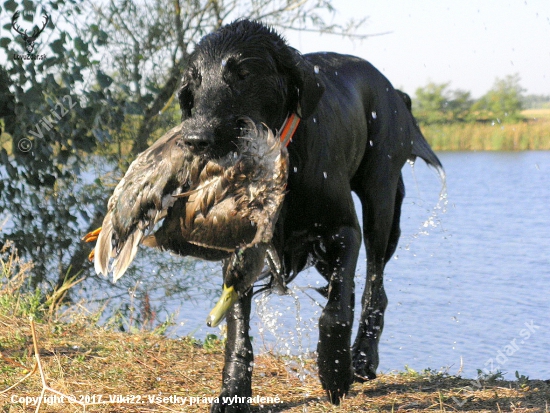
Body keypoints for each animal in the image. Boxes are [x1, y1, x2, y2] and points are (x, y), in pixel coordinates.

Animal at [91, 19, 444, 412]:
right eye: (193, 83)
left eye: (243, 74)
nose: (195, 139)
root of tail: (393, 90)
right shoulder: (241, 244)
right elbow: (238, 327)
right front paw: (233, 389)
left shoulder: (343, 231)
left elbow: (335, 311)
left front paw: (334, 370)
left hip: (380, 200)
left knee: (372, 286)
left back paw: (363, 358)